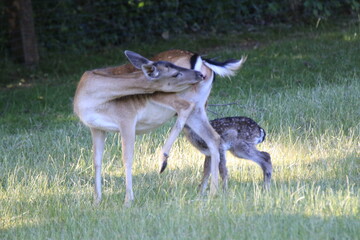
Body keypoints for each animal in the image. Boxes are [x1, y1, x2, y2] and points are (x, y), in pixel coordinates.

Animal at [74, 49, 246, 205]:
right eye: (175, 73)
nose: (198, 75)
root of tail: (203, 62)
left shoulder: (127, 118)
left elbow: (127, 158)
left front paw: (128, 201)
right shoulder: (96, 127)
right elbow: (96, 161)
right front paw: (96, 201)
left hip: (171, 97)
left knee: (186, 109)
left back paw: (163, 161)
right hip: (198, 108)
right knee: (213, 138)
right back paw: (213, 192)